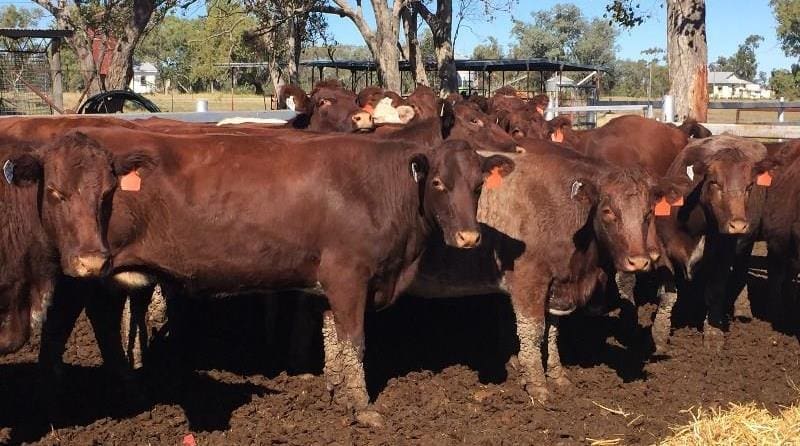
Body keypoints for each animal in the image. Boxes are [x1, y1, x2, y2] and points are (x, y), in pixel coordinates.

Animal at [6, 128, 516, 426]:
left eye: (477, 187)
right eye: (438, 184)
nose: (469, 237)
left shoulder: (330, 283)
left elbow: (334, 341)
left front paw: (335, 391)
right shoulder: (350, 275)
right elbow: (355, 341)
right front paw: (363, 408)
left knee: (92, 322)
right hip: (83, 265)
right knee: (61, 324)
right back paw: (55, 400)